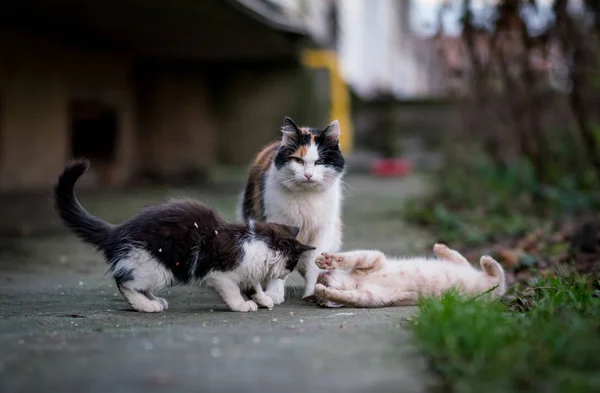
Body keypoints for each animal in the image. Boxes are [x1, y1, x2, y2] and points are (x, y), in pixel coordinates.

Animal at [54, 159, 314, 312]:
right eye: (291, 264)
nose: (286, 274)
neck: (254, 243)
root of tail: (117, 231)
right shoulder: (219, 273)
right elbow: (231, 290)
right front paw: (241, 305)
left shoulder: (248, 272)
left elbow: (253, 285)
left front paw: (262, 298)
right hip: (154, 265)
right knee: (124, 282)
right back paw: (145, 306)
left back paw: (153, 300)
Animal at [238, 115, 344, 300]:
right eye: (298, 160)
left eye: (320, 162)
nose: (308, 175)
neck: (306, 196)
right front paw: (274, 294)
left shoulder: (322, 230)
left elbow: (313, 263)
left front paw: (312, 292)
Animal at [314, 243, 506, 308]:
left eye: (322, 277)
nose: (319, 278)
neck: (357, 281)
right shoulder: (370, 297)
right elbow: (346, 297)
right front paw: (324, 291)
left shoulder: (373, 259)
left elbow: (348, 257)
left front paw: (327, 260)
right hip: (486, 293)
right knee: (499, 278)